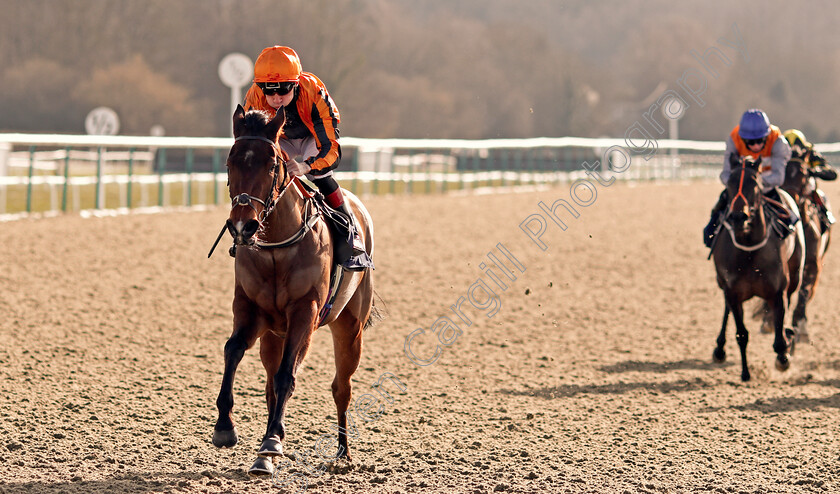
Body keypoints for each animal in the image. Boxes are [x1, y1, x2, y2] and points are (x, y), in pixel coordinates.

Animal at [210, 104, 378, 474]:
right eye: (229, 162)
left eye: (272, 164)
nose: (242, 226)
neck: (276, 247)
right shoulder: (250, 309)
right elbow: (232, 350)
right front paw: (225, 427)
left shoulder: (305, 311)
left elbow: (288, 375)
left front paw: (273, 440)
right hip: (275, 334)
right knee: (271, 384)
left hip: (350, 327)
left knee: (341, 387)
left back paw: (342, 453)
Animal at [712, 155, 804, 382]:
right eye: (729, 183)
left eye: (755, 183)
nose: (738, 217)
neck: (749, 251)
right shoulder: (733, 292)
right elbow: (741, 334)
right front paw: (745, 373)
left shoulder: (778, 292)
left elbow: (779, 338)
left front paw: (783, 359)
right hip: (722, 283)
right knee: (726, 309)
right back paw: (719, 349)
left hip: (795, 274)